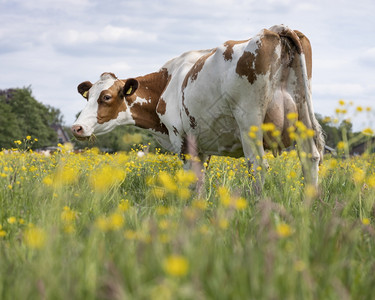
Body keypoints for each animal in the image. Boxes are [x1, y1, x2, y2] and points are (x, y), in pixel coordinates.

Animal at [72, 24, 324, 191]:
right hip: (302, 114)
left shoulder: (182, 141)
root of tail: (274, 30)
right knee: (310, 159)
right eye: (88, 97)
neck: (166, 83)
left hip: (249, 122)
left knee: (258, 165)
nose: (76, 128)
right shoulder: (202, 145)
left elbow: (192, 184)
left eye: (106, 97)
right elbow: (200, 184)